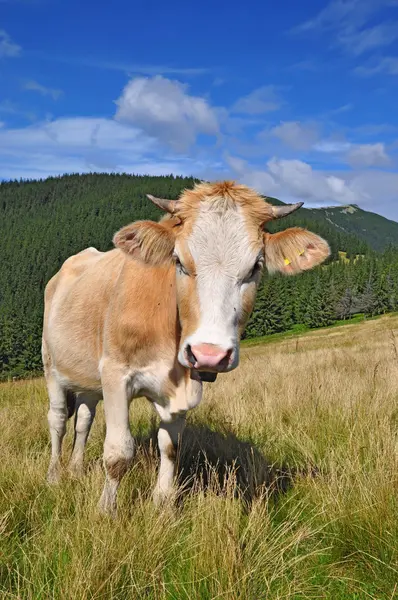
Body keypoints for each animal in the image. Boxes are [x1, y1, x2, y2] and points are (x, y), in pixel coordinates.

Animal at [42, 180, 332, 512]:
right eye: (178, 261)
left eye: (256, 267)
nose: (210, 355)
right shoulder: (115, 373)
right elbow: (118, 452)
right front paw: (106, 511)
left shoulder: (181, 388)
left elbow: (170, 447)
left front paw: (163, 506)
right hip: (51, 367)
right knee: (58, 420)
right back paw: (54, 476)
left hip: (88, 380)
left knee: (84, 420)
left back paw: (76, 469)